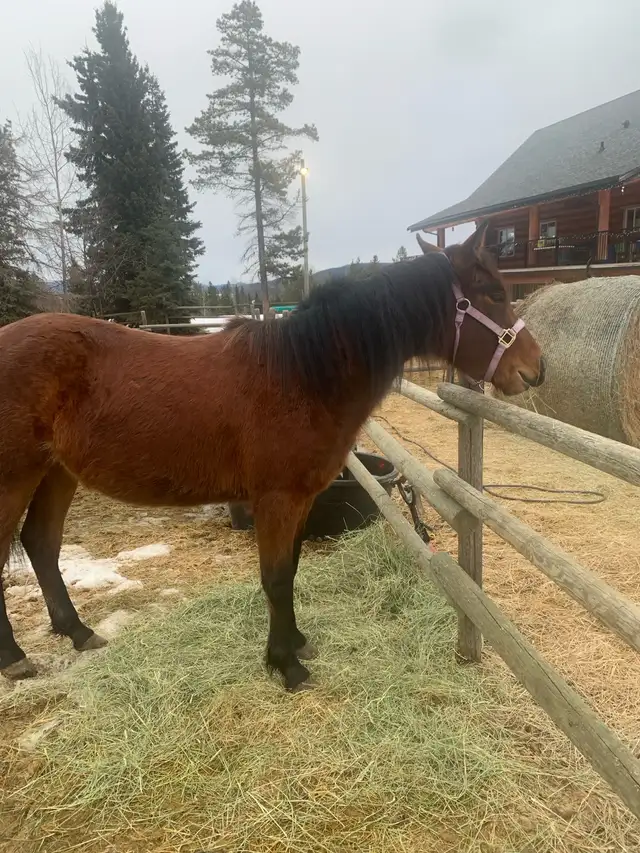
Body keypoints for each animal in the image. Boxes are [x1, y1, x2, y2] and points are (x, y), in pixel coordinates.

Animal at [0, 224, 544, 692]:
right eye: (493, 293)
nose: (536, 369)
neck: (302, 374)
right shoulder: (277, 499)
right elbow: (277, 579)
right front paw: (286, 664)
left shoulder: (299, 499)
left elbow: (292, 570)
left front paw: (296, 643)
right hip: (15, 478)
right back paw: (15, 658)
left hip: (56, 473)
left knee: (42, 545)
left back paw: (77, 631)